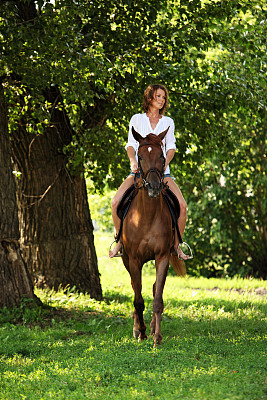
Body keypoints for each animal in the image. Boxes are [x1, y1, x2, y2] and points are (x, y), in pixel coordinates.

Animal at [122, 126, 186, 346]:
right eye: (139, 157)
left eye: (162, 155)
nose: (154, 186)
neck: (147, 215)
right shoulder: (134, 259)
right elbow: (138, 300)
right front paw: (140, 332)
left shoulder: (162, 257)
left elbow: (157, 299)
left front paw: (156, 337)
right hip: (126, 260)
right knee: (135, 288)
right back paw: (137, 329)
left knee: (153, 288)